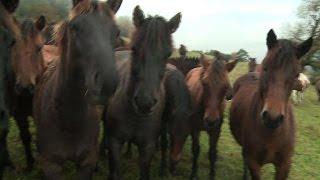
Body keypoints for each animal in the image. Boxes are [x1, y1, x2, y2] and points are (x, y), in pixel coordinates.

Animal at [33, 0, 122, 177]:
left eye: (116, 32)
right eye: (75, 27)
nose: (106, 84)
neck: (68, 119)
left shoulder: (86, 163)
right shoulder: (51, 165)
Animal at [230, 28, 312, 179]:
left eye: (297, 74)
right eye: (265, 67)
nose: (272, 118)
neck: (272, 134)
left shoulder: (284, 165)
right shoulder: (254, 162)